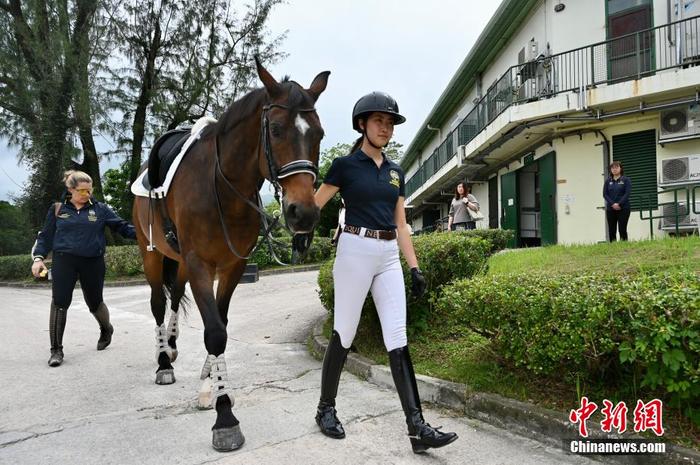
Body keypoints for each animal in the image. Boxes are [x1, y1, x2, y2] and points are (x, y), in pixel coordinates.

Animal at [133, 58, 330, 450]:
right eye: (276, 130)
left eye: (319, 134)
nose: (304, 213)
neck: (222, 189)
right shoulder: (200, 265)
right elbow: (215, 333)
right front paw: (224, 418)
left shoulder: (232, 267)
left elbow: (220, 324)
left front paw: (210, 384)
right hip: (153, 256)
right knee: (158, 304)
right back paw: (163, 361)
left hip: (179, 262)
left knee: (175, 297)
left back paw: (172, 345)